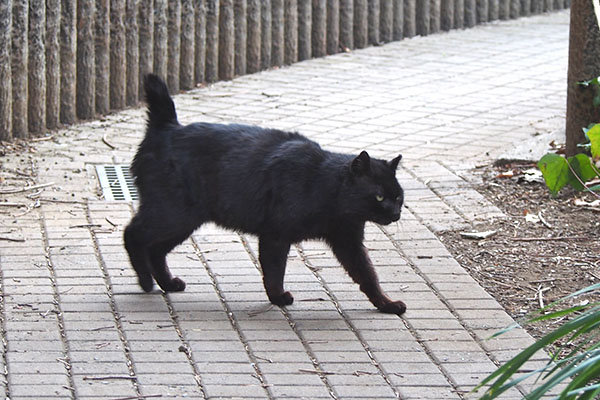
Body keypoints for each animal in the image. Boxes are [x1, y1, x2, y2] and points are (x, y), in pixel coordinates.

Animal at [125, 74, 408, 316]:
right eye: (379, 196)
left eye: (398, 197)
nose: (396, 214)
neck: (324, 186)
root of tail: (168, 128)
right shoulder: (275, 235)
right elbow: (274, 271)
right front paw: (278, 297)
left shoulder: (348, 242)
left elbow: (368, 276)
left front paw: (386, 304)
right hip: (171, 214)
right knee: (132, 235)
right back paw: (145, 281)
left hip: (183, 222)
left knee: (156, 250)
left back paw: (168, 283)